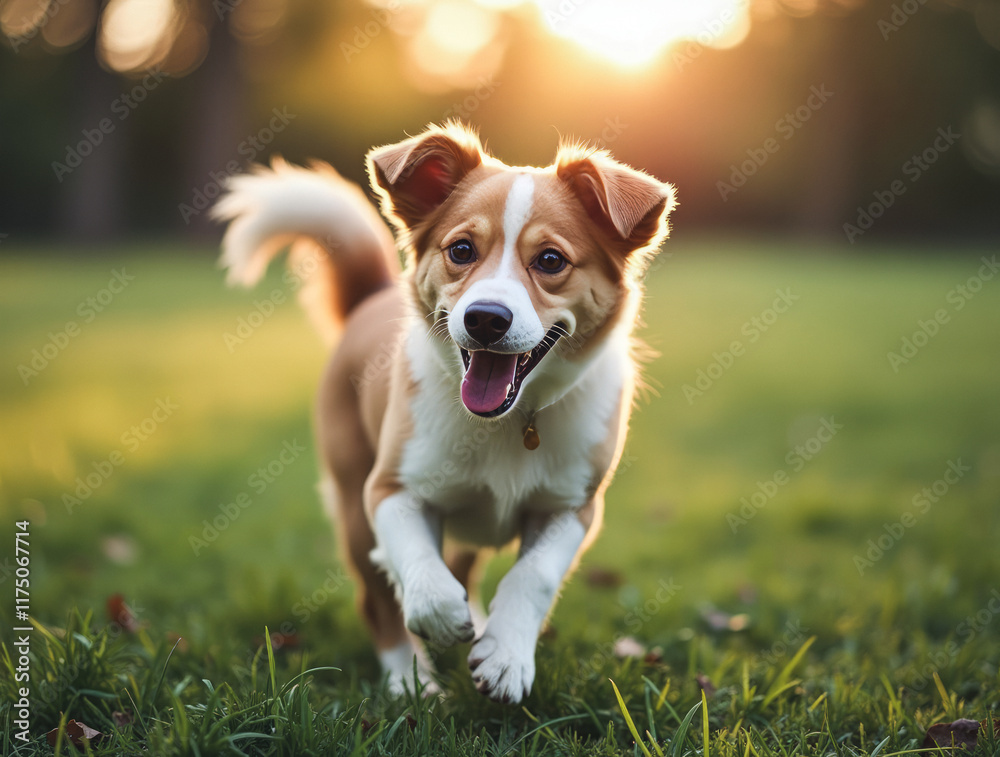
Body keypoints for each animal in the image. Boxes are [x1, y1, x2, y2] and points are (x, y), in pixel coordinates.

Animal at [214, 121, 676, 704]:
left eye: (551, 260)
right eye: (461, 249)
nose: (485, 318)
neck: (507, 422)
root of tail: (371, 299)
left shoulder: (573, 508)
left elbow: (534, 576)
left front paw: (505, 656)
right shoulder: (390, 489)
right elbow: (420, 569)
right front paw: (439, 618)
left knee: (466, 565)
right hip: (353, 505)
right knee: (381, 603)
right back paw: (411, 684)